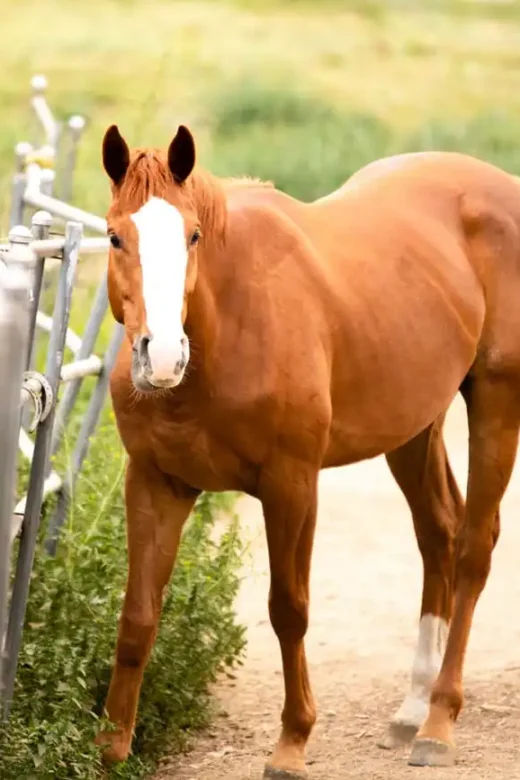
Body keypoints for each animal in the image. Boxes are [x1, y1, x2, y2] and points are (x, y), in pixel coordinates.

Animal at [97, 123, 520, 776]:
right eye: (115, 235)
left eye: (193, 235)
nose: (161, 356)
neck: (230, 325)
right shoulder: (154, 483)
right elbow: (138, 616)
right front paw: (111, 749)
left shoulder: (292, 486)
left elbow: (288, 609)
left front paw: (292, 742)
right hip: (412, 426)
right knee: (439, 534)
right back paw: (412, 707)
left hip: (497, 402)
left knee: (474, 547)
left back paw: (438, 721)